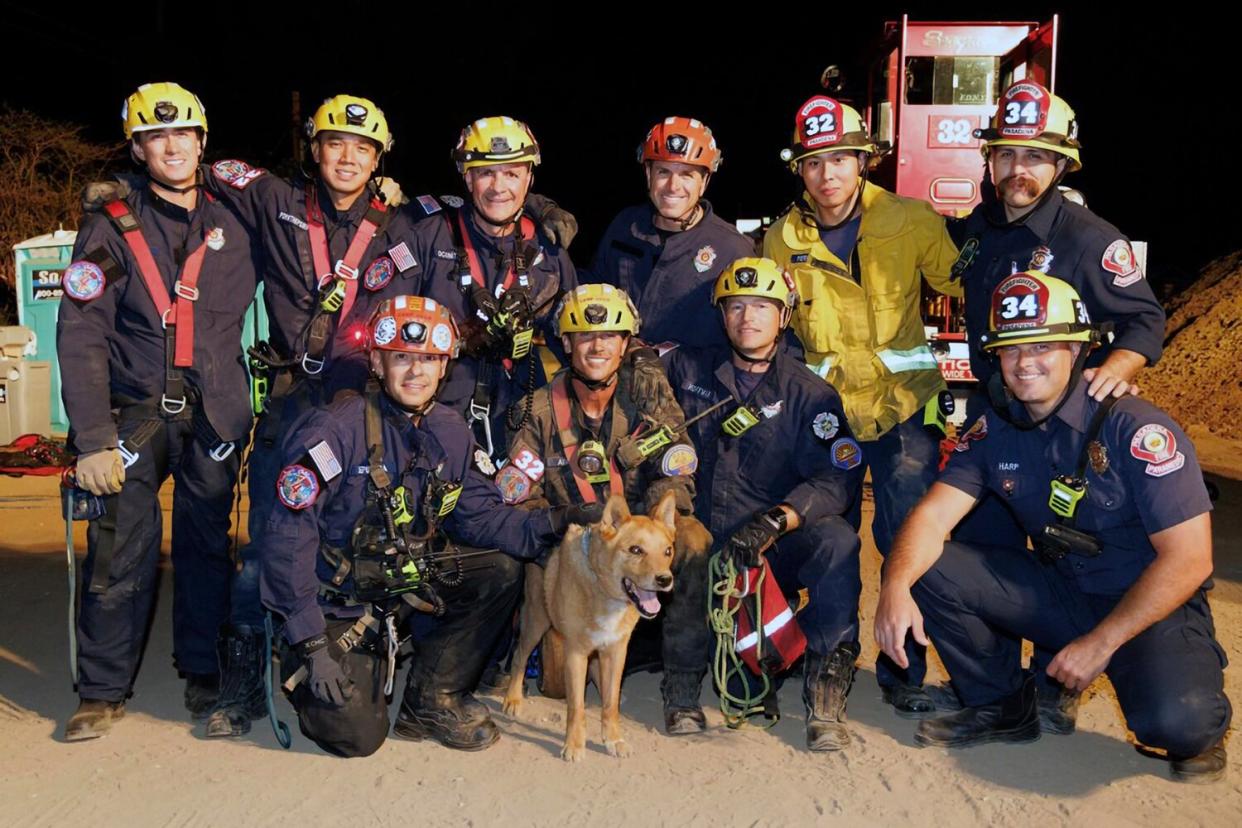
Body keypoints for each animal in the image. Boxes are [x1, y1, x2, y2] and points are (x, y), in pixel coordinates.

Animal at [501, 491, 680, 764]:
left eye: (667, 551)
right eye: (635, 550)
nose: (665, 580)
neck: (603, 590)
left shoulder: (616, 651)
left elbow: (610, 704)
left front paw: (613, 738)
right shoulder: (575, 654)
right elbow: (576, 707)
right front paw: (574, 744)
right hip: (536, 620)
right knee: (520, 656)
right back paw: (513, 698)